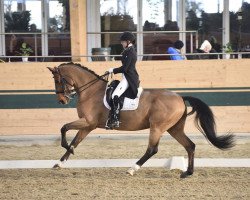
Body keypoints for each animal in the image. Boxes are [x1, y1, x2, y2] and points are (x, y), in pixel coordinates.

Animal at [47, 62, 234, 178]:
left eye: (58, 79)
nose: (62, 101)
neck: (91, 91)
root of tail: (180, 97)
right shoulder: (88, 126)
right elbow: (75, 141)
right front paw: (60, 162)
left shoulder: (88, 122)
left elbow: (64, 128)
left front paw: (67, 150)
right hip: (174, 129)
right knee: (190, 146)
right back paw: (187, 173)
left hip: (157, 127)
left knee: (152, 149)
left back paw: (132, 169)